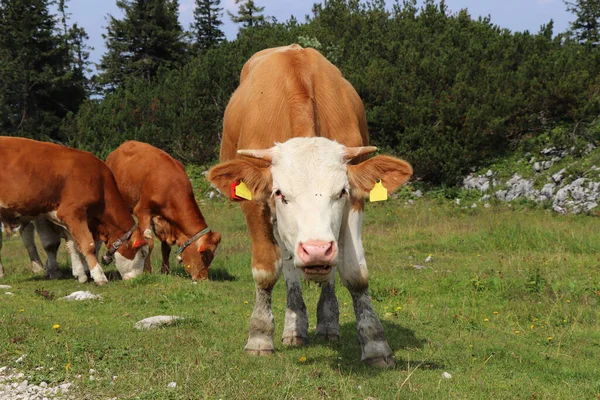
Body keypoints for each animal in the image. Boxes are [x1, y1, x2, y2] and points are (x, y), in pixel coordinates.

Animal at [0, 138, 149, 284]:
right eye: (142, 253)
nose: (138, 279)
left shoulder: (66, 219)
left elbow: (74, 245)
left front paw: (80, 274)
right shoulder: (73, 213)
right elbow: (87, 245)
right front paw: (99, 276)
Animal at [106, 141, 221, 282]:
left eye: (212, 256)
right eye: (203, 254)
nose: (202, 278)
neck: (171, 186)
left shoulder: (166, 223)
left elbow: (166, 247)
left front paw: (165, 271)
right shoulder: (142, 211)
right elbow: (148, 243)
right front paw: (147, 271)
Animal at [207, 45, 412, 368]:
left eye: (340, 192)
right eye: (280, 193)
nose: (316, 250)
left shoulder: (354, 203)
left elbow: (354, 273)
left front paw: (375, 344)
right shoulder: (256, 206)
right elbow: (267, 270)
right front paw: (260, 336)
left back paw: (327, 325)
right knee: (290, 265)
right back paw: (294, 327)